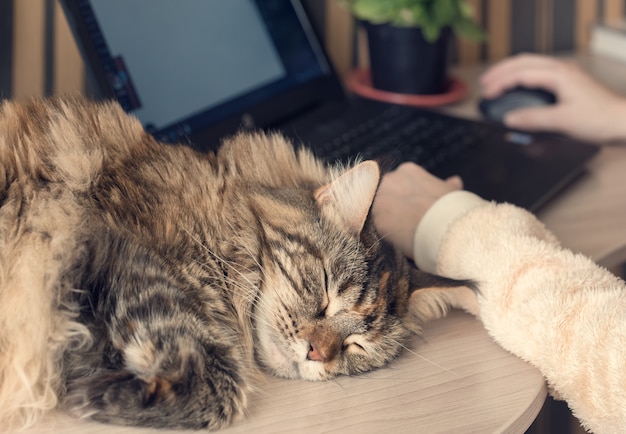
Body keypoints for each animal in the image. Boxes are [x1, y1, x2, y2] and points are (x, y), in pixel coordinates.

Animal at [0, 97, 468, 430]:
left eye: (356, 346)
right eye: (324, 292)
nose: (316, 353)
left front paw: (97, 389)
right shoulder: (113, 248)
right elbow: (221, 381)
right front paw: (89, 397)